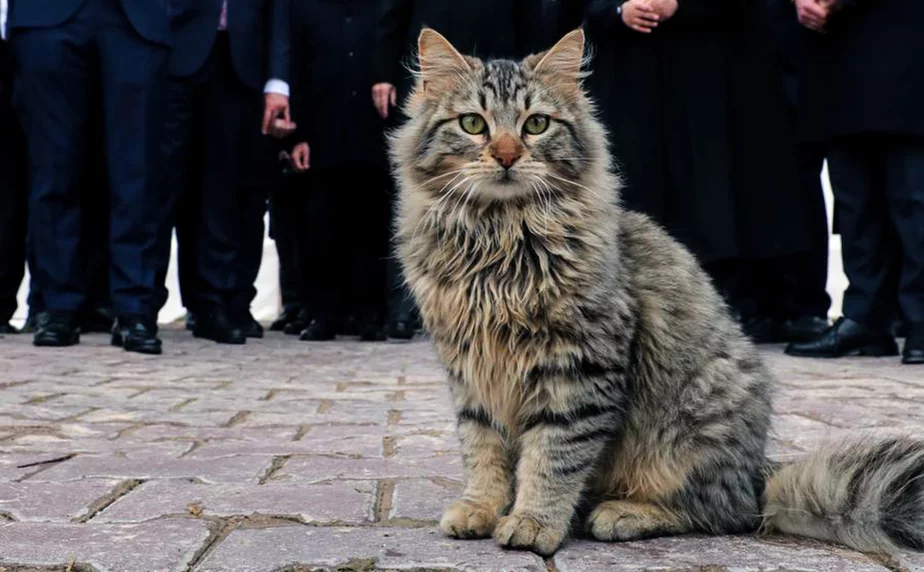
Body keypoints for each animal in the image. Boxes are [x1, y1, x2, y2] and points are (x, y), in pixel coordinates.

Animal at [386, 27, 924, 560]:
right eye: (473, 124)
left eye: (535, 124)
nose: (505, 155)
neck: (498, 241)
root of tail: (759, 476)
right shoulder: (471, 370)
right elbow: (483, 450)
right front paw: (480, 509)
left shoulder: (579, 366)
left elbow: (553, 457)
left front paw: (533, 522)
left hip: (691, 432)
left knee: (725, 515)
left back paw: (621, 513)